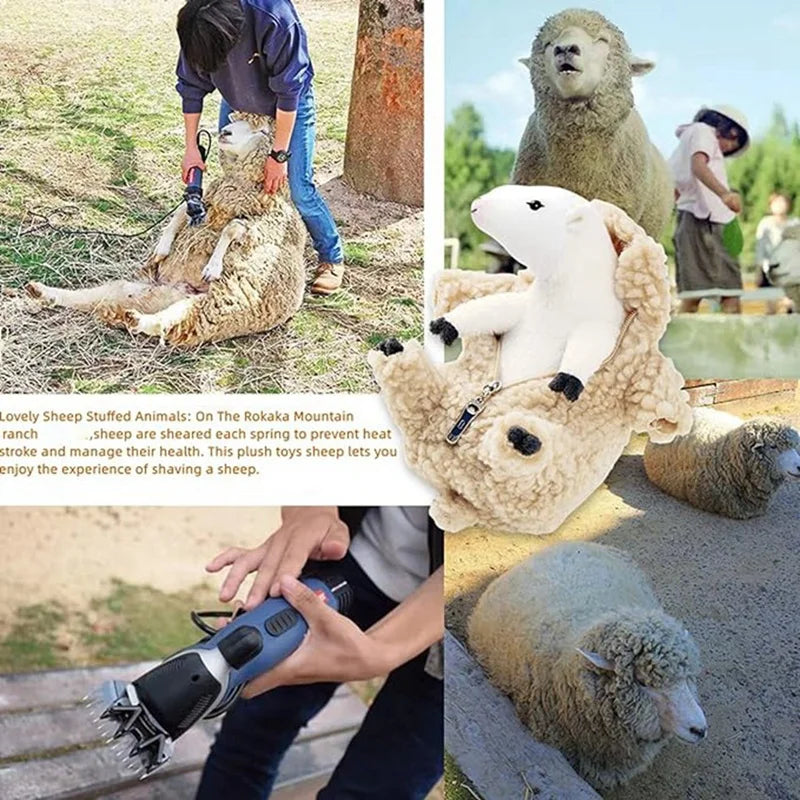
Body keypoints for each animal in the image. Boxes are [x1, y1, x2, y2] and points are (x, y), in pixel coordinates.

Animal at [25, 113, 306, 347]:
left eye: (262, 131)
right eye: (235, 119)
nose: (225, 132)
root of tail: (178, 290)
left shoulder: (262, 226)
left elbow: (232, 227)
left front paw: (213, 266)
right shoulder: (203, 202)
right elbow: (180, 213)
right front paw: (162, 248)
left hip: (217, 307)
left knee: (170, 322)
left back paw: (138, 320)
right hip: (142, 289)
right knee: (96, 296)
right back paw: (44, 292)